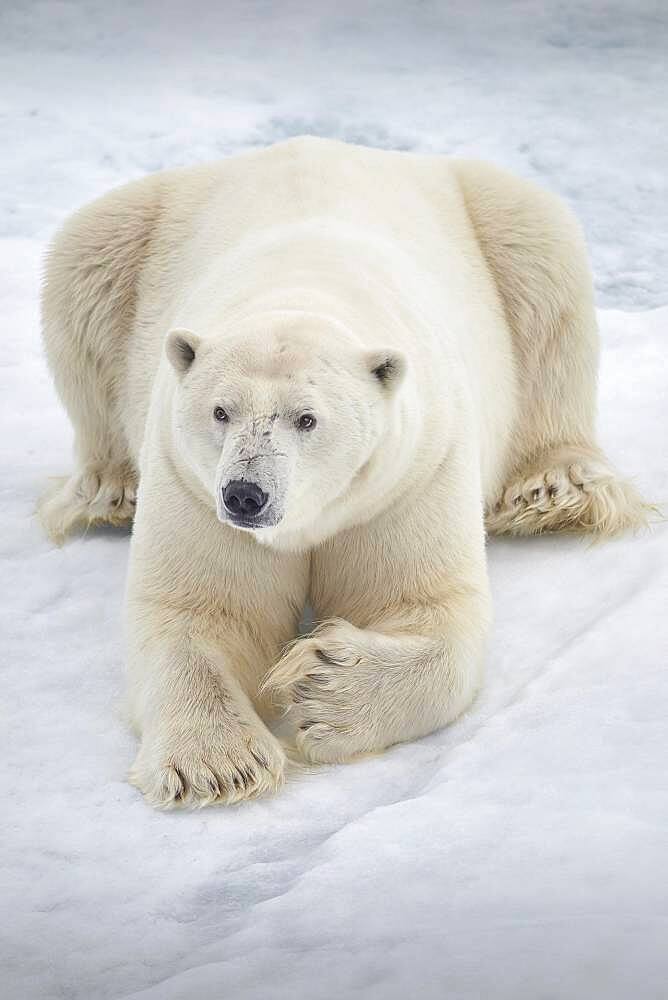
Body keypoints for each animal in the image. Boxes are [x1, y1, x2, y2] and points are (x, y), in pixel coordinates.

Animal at [39, 137, 644, 808]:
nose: (245, 495)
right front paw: (218, 764)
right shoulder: (188, 481)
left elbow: (428, 607)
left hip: (494, 217)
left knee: (545, 273)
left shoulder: (410, 473)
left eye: (306, 419)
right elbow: (199, 611)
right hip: (141, 227)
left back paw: (555, 491)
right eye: (220, 411)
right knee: (86, 266)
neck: (304, 285)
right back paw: (109, 492)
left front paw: (320, 687)